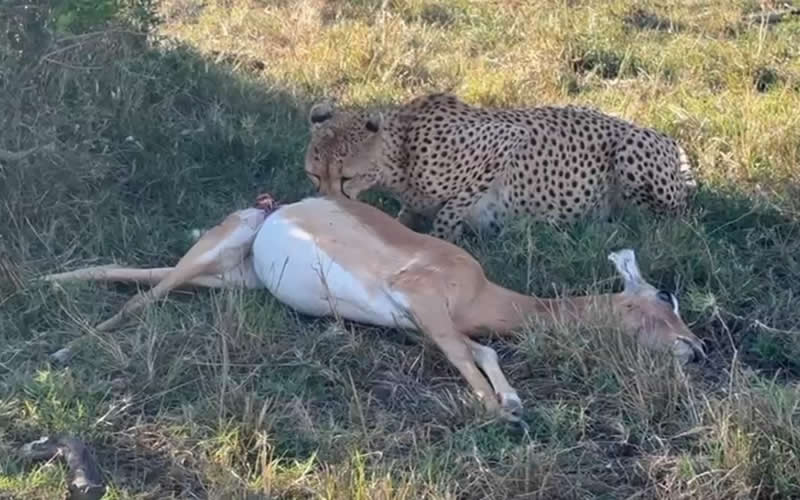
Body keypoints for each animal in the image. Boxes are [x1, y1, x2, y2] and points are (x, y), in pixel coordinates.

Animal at [303, 92, 698, 241]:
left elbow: (452, 208)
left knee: (677, 218)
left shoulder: (505, 141)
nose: (325, 205)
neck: (401, 153)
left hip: (631, 152)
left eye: (347, 178)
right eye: (314, 175)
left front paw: (443, 239)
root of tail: (665, 135)